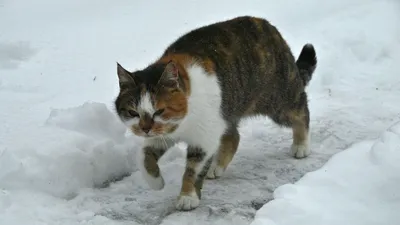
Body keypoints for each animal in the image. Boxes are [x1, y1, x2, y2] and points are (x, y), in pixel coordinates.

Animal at [114, 15, 318, 211]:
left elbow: (193, 170)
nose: (144, 129)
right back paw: (217, 166)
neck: (183, 121)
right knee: (233, 136)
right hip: (227, 112)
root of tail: (268, 26)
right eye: (133, 112)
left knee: (301, 111)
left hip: (278, 101)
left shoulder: (204, 138)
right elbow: (143, 155)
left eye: (160, 110)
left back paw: (301, 145)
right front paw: (156, 182)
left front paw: (188, 196)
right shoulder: (165, 134)